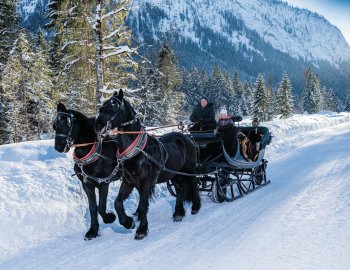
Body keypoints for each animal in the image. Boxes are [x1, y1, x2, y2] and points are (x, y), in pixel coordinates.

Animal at [53, 102, 120, 239]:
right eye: (54, 125)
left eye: (66, 122)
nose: (58, 147)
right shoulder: (87, 184)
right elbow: (93, 208)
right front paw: (93, 230)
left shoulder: (103, 183)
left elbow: (101, 207)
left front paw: (110, 218)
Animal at [94, 91, 201, 240]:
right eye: (102, 106)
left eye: (114, 106)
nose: (98, 125)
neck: (139, 152)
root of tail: (187, 138)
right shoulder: (128, 182)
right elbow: (117, 202)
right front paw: (128, 222)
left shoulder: (146, 182)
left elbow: (144, 205)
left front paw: (141, 230)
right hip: (174, 174)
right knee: (180, 189)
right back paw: (178, 213)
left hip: (189, 170)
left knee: (193, 183)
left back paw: (196, 207)